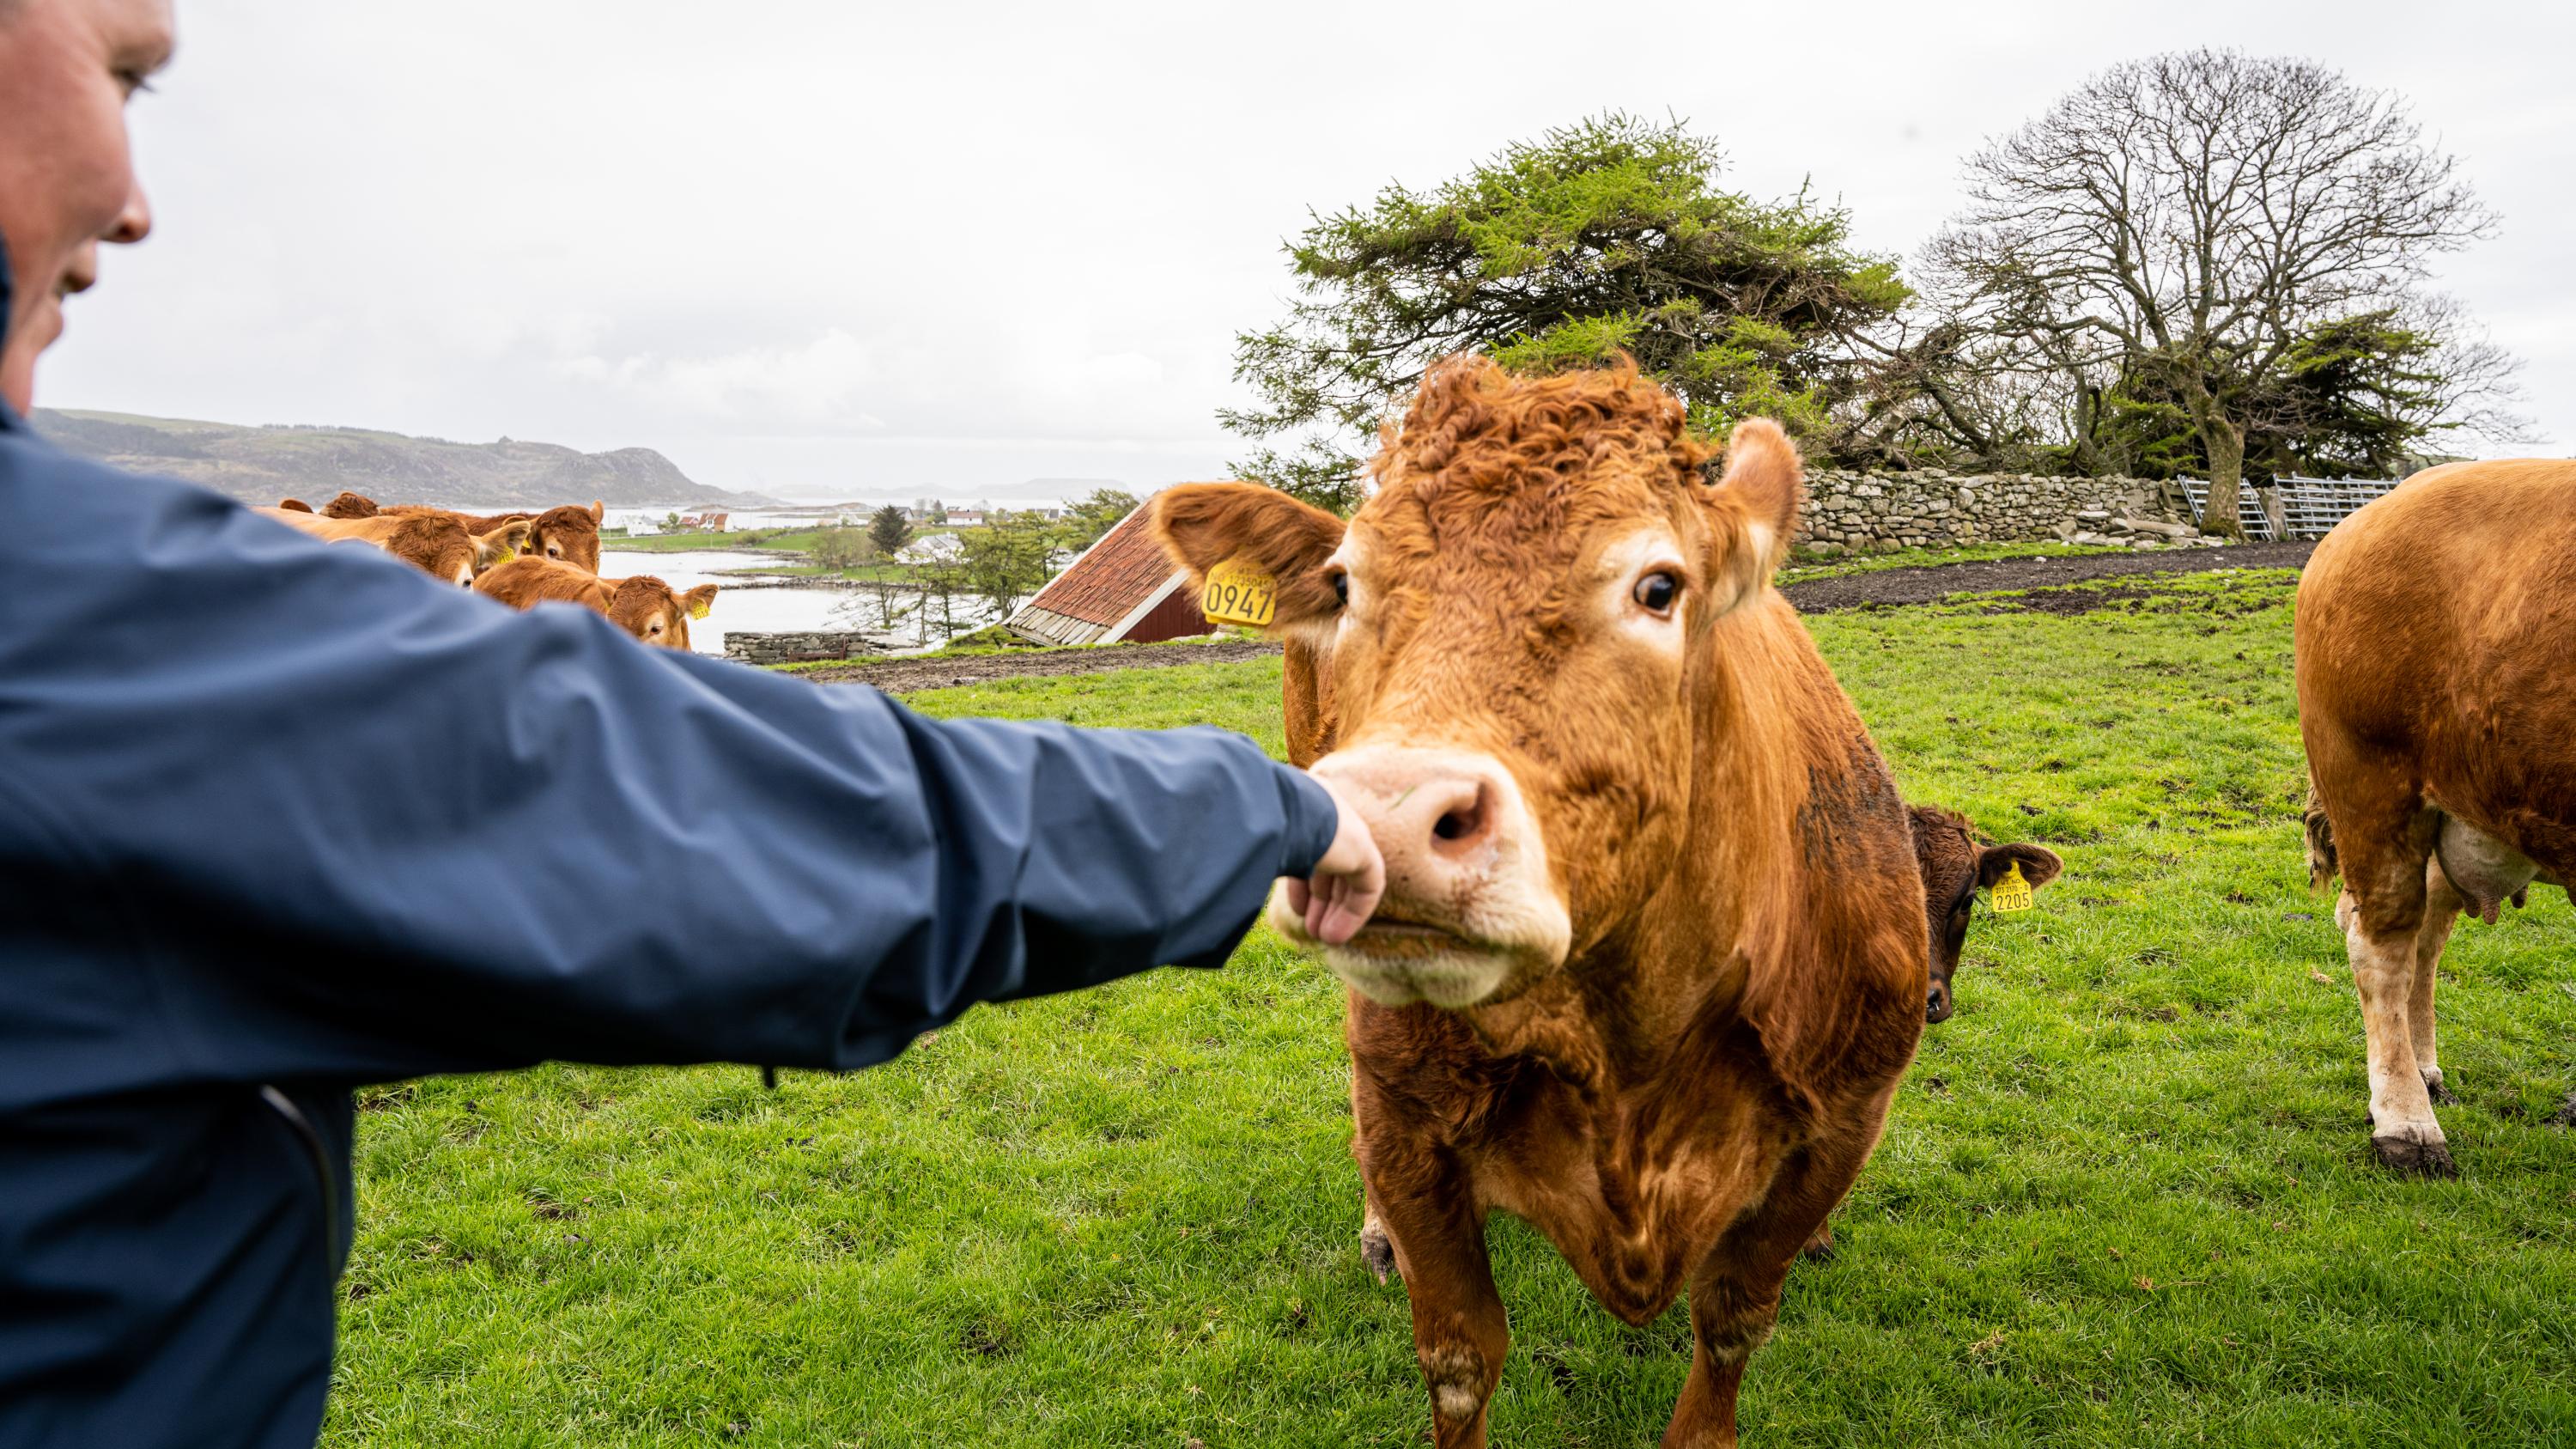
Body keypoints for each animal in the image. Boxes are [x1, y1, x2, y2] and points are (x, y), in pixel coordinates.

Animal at [1150, 357, 1926, 1448]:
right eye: (1345, 585)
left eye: (1659, 586)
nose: (1386, 819)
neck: (1628, 1041)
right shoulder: (1408, 1128)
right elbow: (1460, 1356)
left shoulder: (1844, 1117)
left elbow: (1734, 1314)